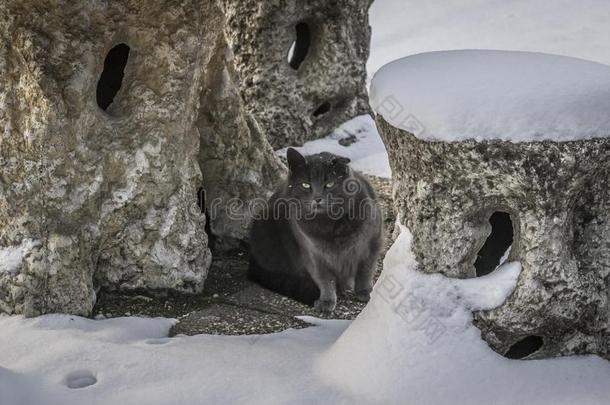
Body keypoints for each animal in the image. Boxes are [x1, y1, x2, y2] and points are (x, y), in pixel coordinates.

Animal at [247, 148, 380, 312]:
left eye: (329, 184)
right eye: (305, 184)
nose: (317, 198)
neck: (330, 225)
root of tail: (252, 264)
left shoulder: (372, 244)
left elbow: (365, 271)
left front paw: (365, 293)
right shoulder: (313, 254)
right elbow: (325, 279)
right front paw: (327, 301)